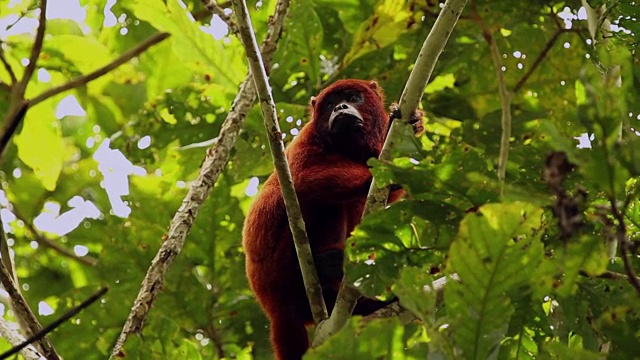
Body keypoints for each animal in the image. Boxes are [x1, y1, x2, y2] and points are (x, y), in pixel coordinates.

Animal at [242, 80, 422, 358]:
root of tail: (273, 306)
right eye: (329, 105)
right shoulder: (307, 139)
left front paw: (412, 123)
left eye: (354, 97)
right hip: (279, 264)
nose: (340, 107)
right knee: (321, 204)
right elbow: (302, 179)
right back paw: (326, 264)